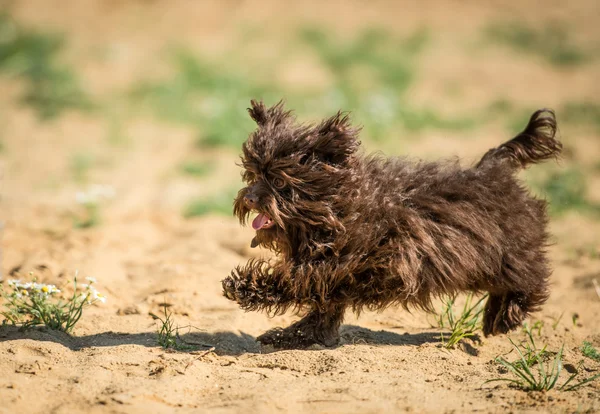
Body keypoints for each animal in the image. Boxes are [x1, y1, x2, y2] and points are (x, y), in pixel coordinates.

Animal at [221, 100, 564, 350]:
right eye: (254, 174)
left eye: (279, 181)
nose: (248, 197)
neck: (337, 207)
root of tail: (496, 167)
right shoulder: (335, 277)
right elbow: (323, 310)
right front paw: (296, 336)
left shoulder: (337, 264)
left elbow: (294, 282)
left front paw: (246, 287)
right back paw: (496, 317)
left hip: (507, 254)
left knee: (531, 277)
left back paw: (507, 316)